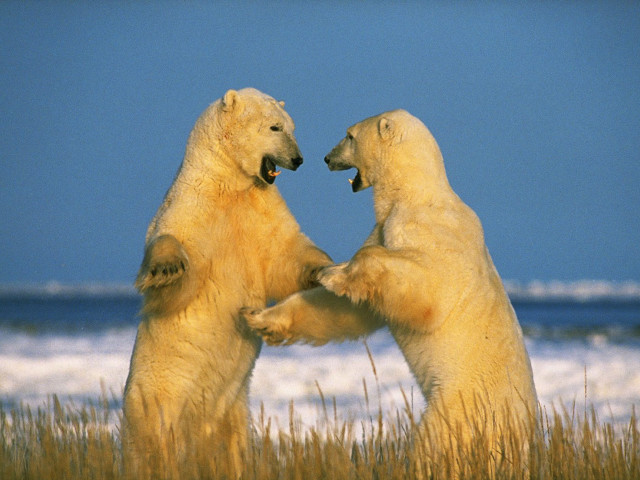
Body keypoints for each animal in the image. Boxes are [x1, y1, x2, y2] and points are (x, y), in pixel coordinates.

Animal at [122, 88, 331, 475]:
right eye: (275, 126)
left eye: (291, 126)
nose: (298, 159)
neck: (229, 181)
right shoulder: (193, 205)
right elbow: (176, 258)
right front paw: (167, 268)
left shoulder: (260, 206)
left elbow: (286, 252)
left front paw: (325, 269)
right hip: (155, 397)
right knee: (154, 440)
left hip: (233, 407)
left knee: (232, 442)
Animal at [242, 109, 538, 472]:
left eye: (349, 135)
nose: (326, 158)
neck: (413, 192)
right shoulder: (384, 228)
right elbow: (350, 308)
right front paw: (260, 316)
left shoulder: (423, 229)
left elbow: (428, 292)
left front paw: (334, 274)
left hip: (463, 404)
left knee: (437, 442)